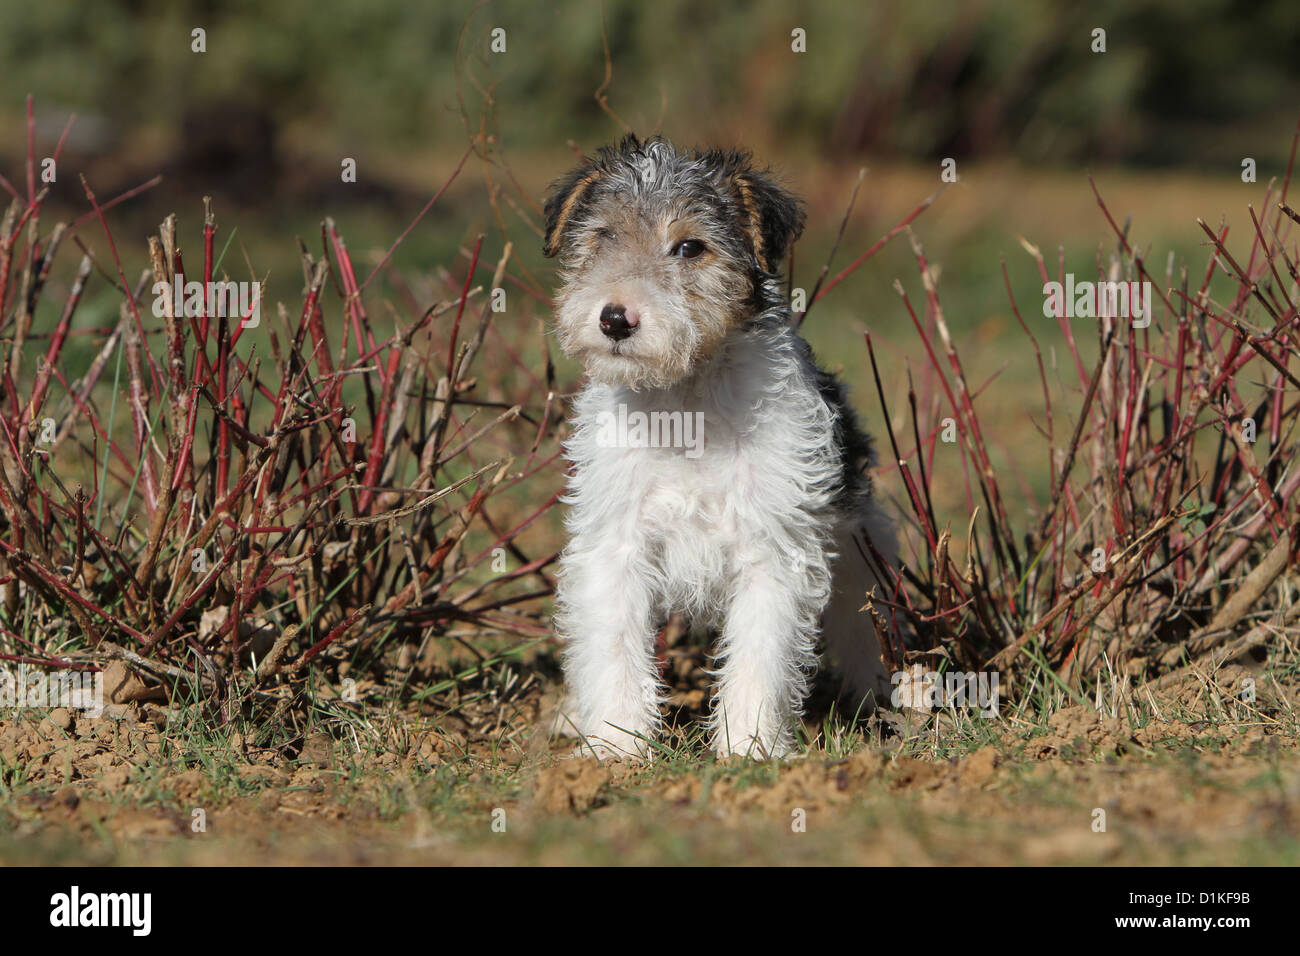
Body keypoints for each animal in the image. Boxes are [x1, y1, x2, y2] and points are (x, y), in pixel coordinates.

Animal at [543, 136, 899, 764]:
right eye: (603, 236)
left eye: (690, 246)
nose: (614, 319)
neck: (686, 400)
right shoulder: (616, 546)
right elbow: (614, 648)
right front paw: (616, 744)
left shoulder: (772, 549)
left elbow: (761, 655)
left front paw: (750, 746)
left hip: (862, 552)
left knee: (866, 630)